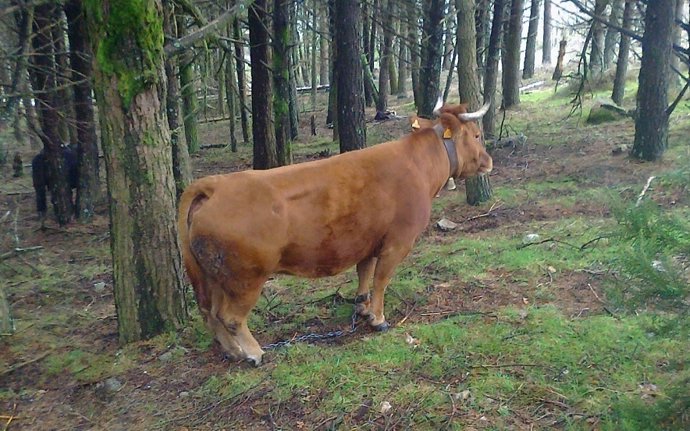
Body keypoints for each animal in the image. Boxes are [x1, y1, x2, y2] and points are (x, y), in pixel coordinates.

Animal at [178, 101, 493, 366]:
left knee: (210, 313)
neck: (419, 165)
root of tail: (216, 185)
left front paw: (363, 309)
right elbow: (381, 280)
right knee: (230, 317)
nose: (489, 162)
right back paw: (253, 353)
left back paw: (233, 352)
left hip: (213, 277)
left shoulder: (368, 241)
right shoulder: (397, 242)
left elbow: (364, 275)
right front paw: (378, 319)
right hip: (245, 279)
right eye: (477, 135)